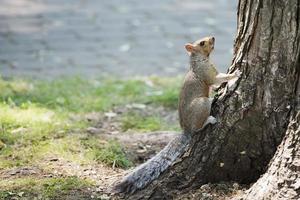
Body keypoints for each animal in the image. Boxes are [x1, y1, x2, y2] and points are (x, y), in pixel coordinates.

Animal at [112, 35, 241, 194]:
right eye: (202, 43)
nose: (213, 37)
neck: (201, 59)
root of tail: (187, 129)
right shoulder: (206, 73)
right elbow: (217, 79)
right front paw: (236, 74)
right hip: (201, 104)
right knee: (198, 127)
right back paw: (209, 116)